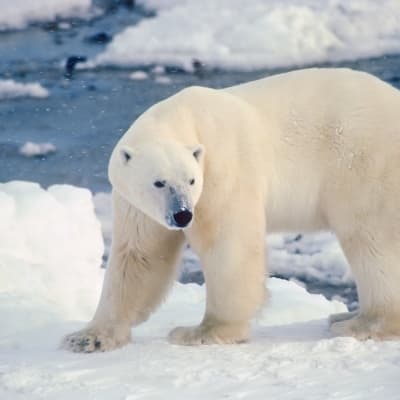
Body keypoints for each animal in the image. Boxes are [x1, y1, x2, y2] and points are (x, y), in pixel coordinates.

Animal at [61, 69, 400, 354]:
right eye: (159, 182)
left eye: (191, 179)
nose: (182, 215)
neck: (185, 117)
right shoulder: (136, 204)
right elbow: (139, 256)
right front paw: (88, 337)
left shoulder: (221, 170)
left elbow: (227, 243)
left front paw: (202, 331)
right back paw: (344, 315)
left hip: (363, 161)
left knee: (371, 238)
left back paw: (361, 323)